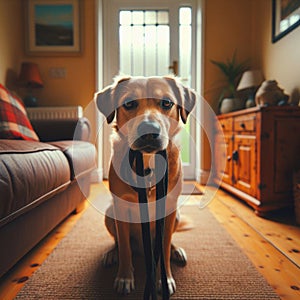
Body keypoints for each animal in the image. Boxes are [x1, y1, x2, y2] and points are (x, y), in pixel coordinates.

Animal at [96, 75, 197, 296]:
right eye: (129, 103)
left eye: (167, 103)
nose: (149, 130)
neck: (148, 160)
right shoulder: (121, 207)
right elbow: (125, 248)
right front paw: (125, 277)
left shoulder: (168, 210)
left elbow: (164, 249)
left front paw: (164, 279)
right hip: (110, 214)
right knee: (119, 243)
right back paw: (112, 254)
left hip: (176, 215)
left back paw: (176, 251)